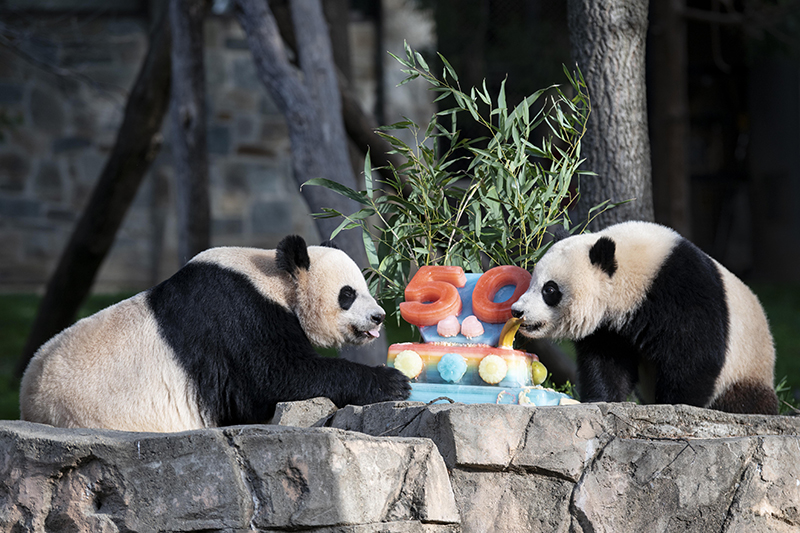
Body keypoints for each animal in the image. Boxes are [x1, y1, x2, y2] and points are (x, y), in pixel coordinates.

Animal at [21, 235, 410, 430]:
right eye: (348, 294)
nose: (378, 317)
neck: (273, 277)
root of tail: (30, 406)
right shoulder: (237, 316)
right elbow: (275, 378)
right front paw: (392, 381)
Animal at [510, 218, 780, 414]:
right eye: (533, 281)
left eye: (549, 289)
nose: (517, 310)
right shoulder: (609, 326)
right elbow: (607, 361)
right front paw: (602, 398)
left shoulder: (683, 290)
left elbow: (695, 355)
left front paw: (676, 404)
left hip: (746, 367)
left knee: (745, 400)